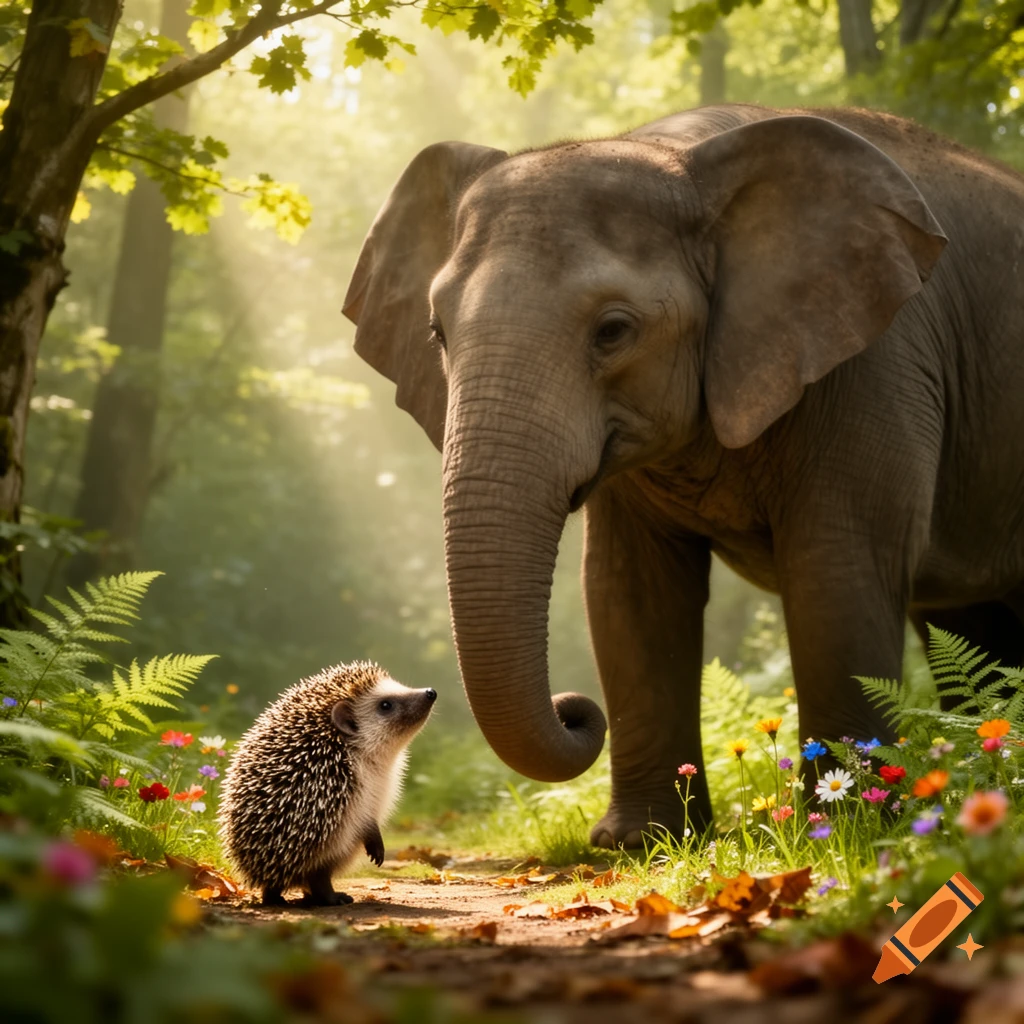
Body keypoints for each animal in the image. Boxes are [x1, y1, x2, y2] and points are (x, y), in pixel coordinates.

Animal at [343, 103, 1024, 848]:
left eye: (614, 330)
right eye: (436, 332)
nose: (574, 708)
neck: (680, 155)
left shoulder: (879, 364)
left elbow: (839, 573)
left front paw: (849, 829)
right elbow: (628, 592)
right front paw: (639, 842)